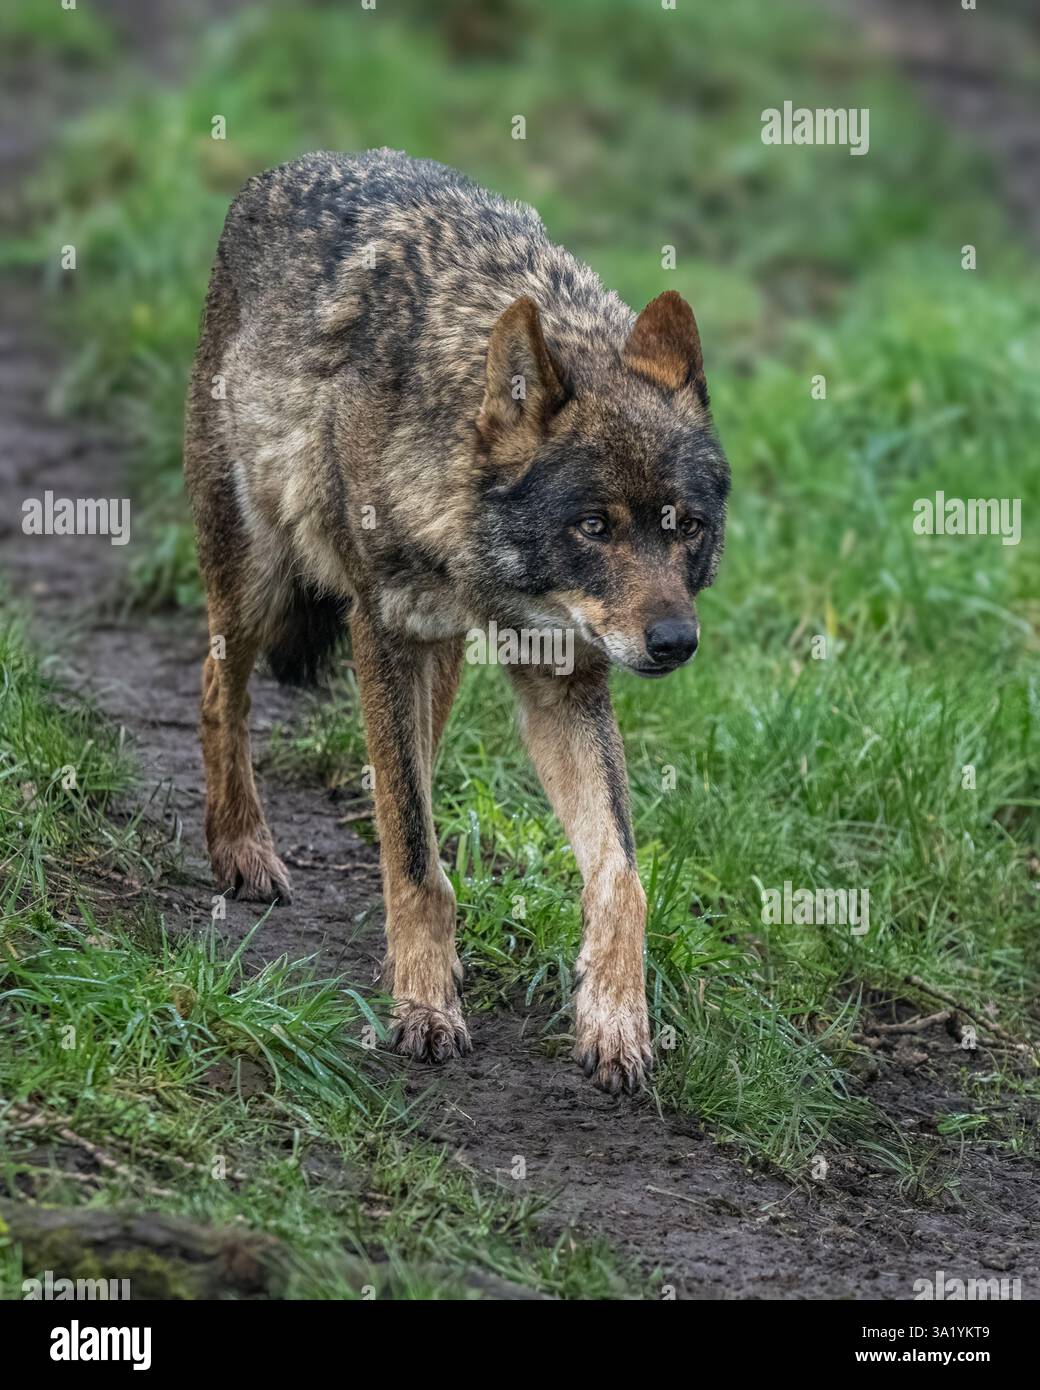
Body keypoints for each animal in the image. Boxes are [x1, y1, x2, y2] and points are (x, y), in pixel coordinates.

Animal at [184, 149, 730, 1095]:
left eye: (685, 526)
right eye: (595, 527)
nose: (674, 643)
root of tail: (282, 168)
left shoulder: (563, 679)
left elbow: (621, 876)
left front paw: (615, 1020)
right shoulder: (380, 632)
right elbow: (410, 850)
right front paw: (426, 1008)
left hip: (431, 662)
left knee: (412, 771)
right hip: (263, 583)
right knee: (220, 687)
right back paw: (243, 849)